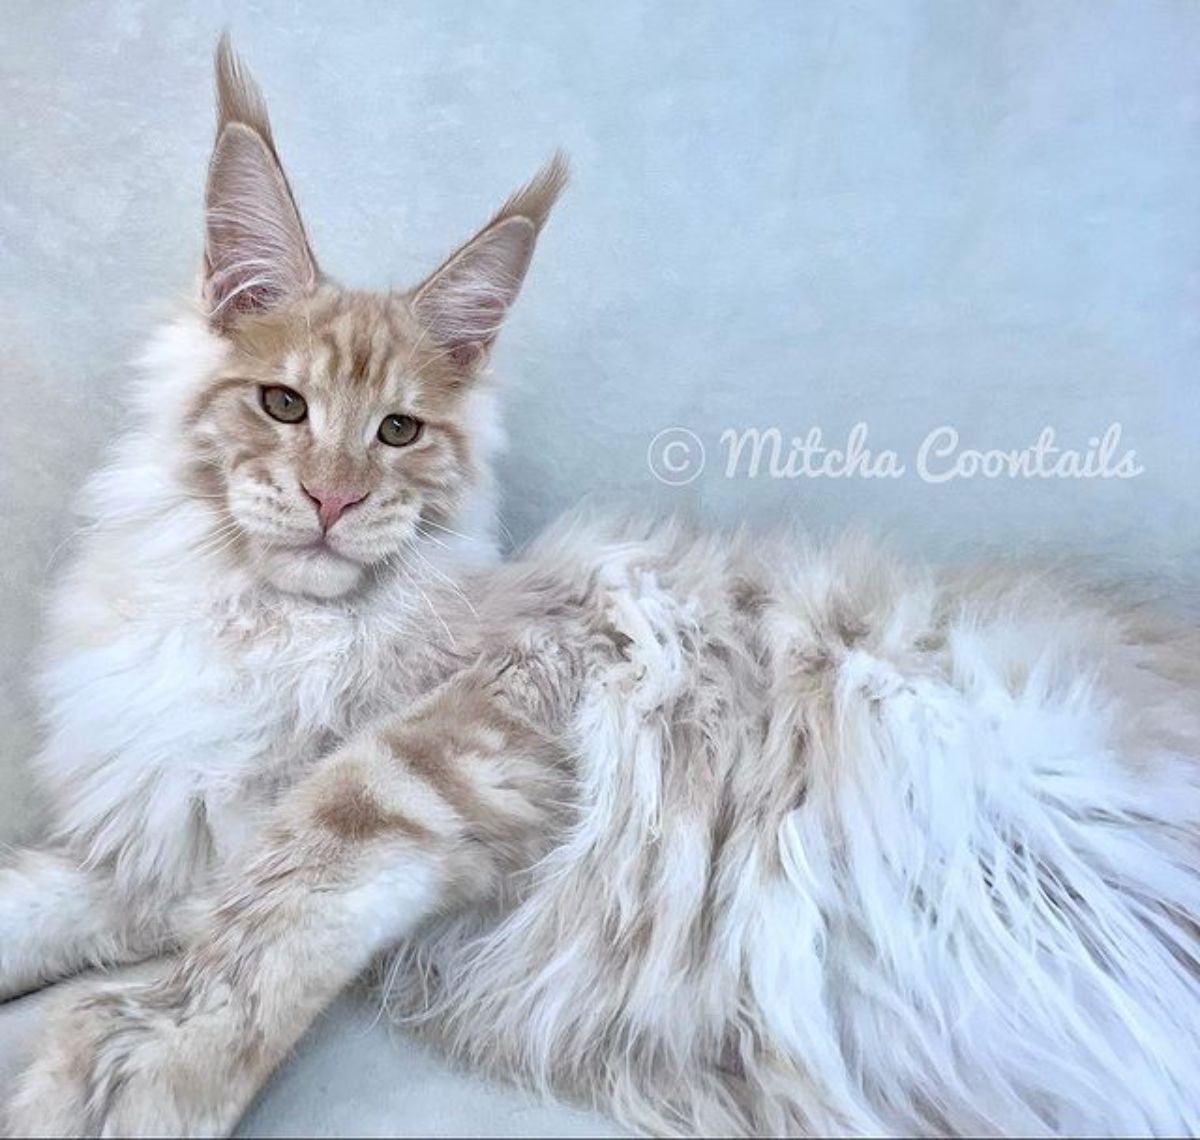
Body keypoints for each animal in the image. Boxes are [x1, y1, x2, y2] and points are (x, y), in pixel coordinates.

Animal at [2, 35, 1200, 1140]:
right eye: (284, 405)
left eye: (399, 432)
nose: (333, 498)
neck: (266, 622)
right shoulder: (182, 826)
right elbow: (59, 893)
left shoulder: (504, 701)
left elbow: (296, 890)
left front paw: (136, 1073)